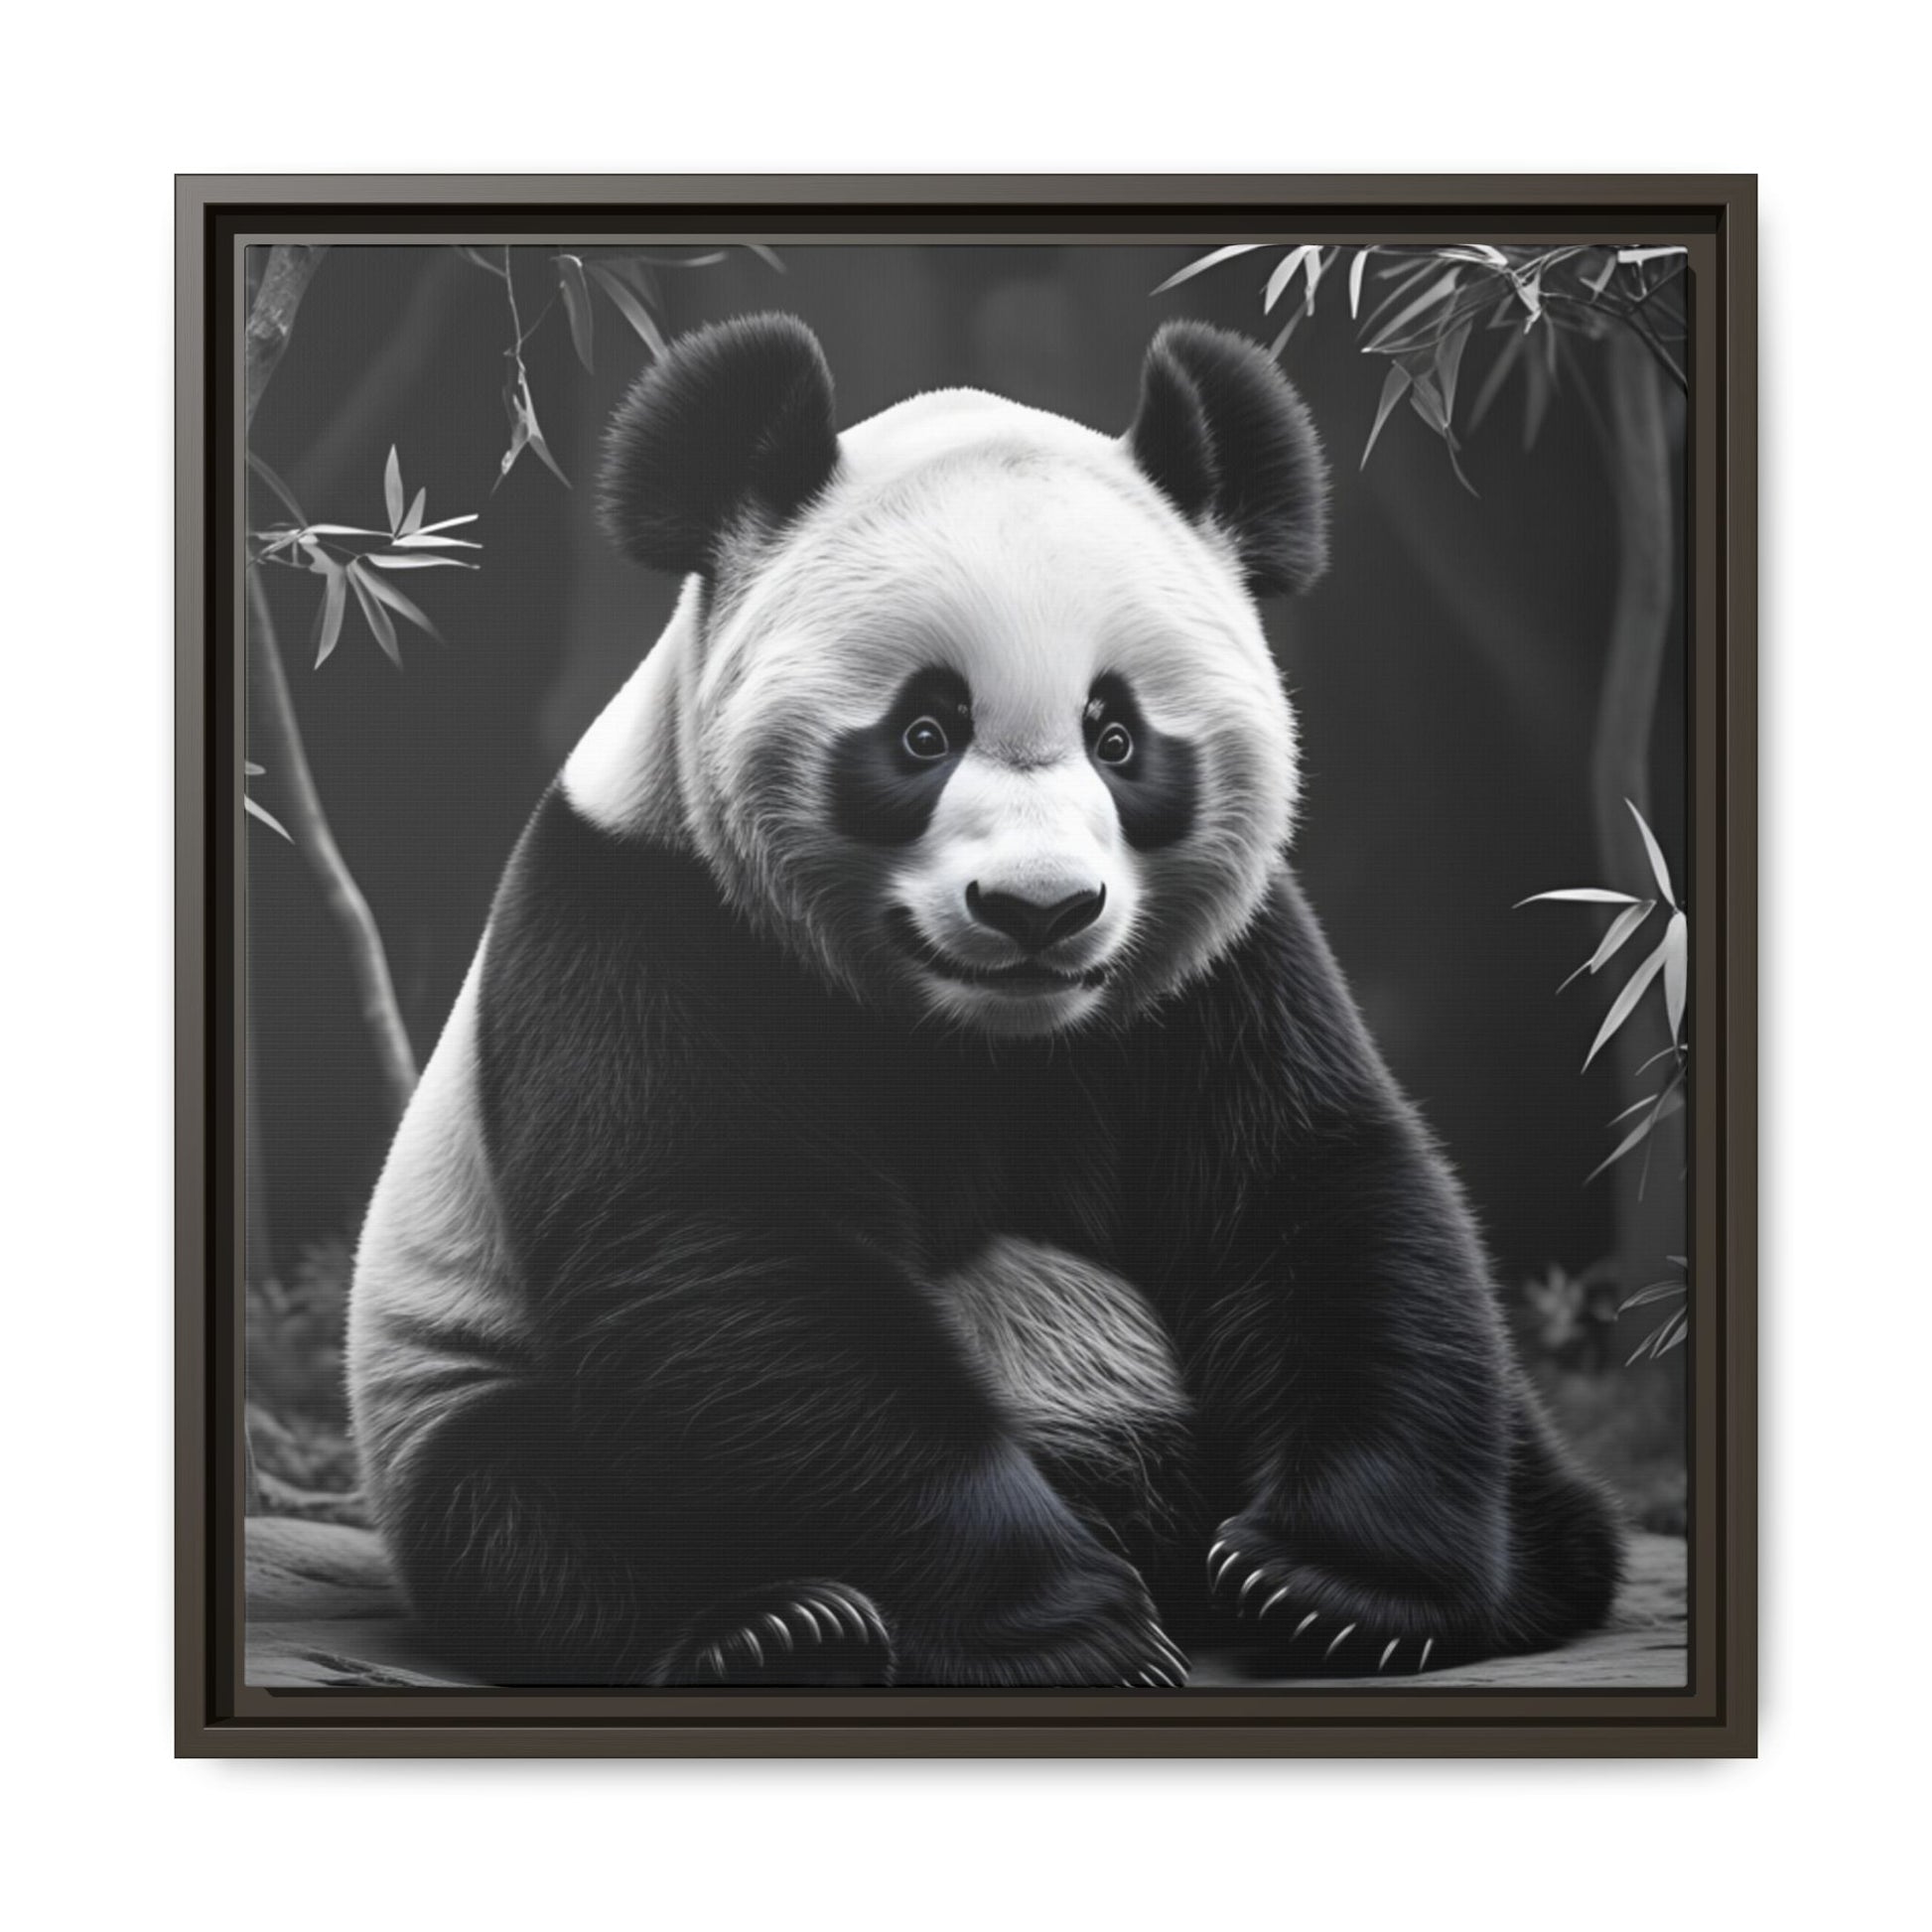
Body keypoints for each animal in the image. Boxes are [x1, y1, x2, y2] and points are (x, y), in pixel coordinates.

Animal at [347, 312, 1623, 1687]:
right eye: (923, 731)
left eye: (1117, 736)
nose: (1037, 910)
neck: (980, 1039)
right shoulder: (649, 922)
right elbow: (722, 1253)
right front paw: (1068, 1623)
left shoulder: (1218, 971)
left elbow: (1312, 1187)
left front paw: (1329, 1585)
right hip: (450, 1380)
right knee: (531, 1511)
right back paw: (777, 1627)